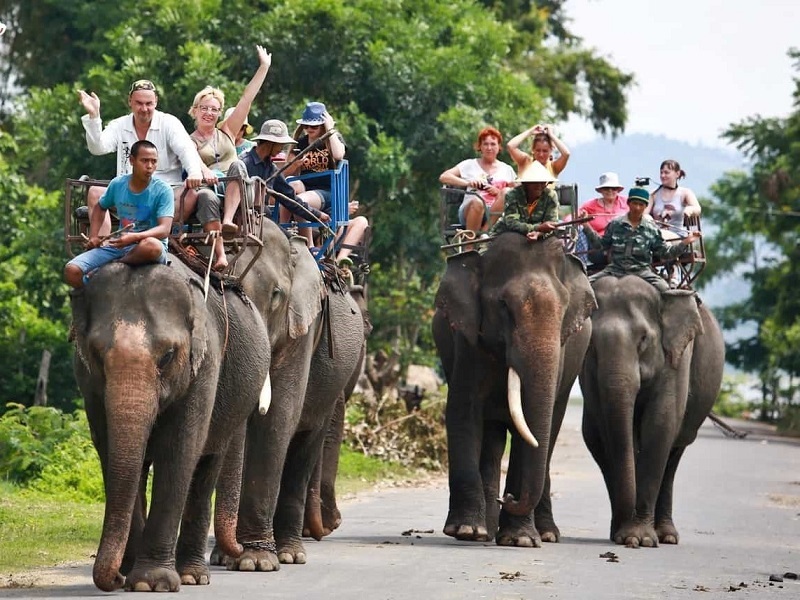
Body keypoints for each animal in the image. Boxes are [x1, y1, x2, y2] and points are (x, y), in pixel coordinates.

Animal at [70, 259, 271, 592]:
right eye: (97, 355)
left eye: (166, 356)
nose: (115, 579)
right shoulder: (87, 381)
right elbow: (109, 450)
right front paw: (130, 575)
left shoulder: (205, 366)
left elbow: (178, 453)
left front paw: (150, 583)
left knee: (206, 469)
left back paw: (192, 575)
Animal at [212, 219, 365, 571]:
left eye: (276, 295)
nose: (234, 551)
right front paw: (230, 558)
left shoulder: (303, 331)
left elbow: (278, 417)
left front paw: (255, 561)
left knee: (304, 445)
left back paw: (290, 554)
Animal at [432, 234, 596, 547]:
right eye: (504, 305)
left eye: (564, 309)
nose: (507, 497)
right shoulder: (467, 341)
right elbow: (463, 411)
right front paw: (467, 531)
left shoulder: (561, 350)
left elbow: (533, 431)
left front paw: (520, 540)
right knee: (493, 439)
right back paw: (486, 531)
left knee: (549, 433)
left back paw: (545, 534)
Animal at [579, 275, 724, 548]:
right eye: (591, 344)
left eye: (644, 338)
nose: (624, 537)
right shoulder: (587, 371)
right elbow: (606, 428)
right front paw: (627, 535)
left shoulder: (677, 356)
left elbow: (660, 424)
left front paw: (641, 539)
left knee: (674, 452)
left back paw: (665, 535)